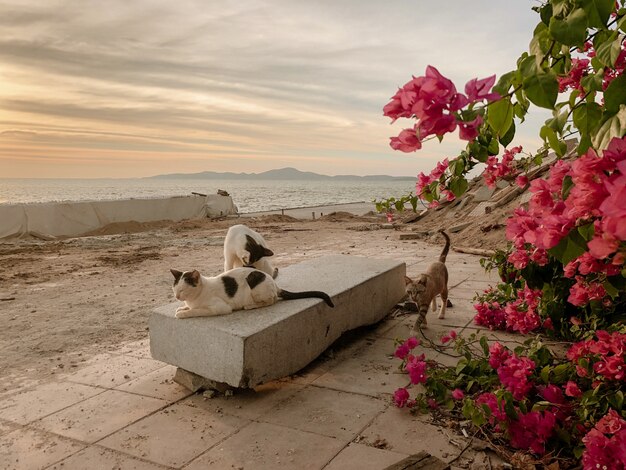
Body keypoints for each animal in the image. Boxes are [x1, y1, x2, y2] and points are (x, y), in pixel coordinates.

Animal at [168, 268, 334, 320]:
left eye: (182, 290)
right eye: (175, 289)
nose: (177, 297)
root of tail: (274, 283)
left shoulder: (220, 308)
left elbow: (197, 311)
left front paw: (183, 313)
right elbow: (190, 308)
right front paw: (182, 308)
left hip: (254, 285)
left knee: (271, 301)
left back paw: (250, 306)